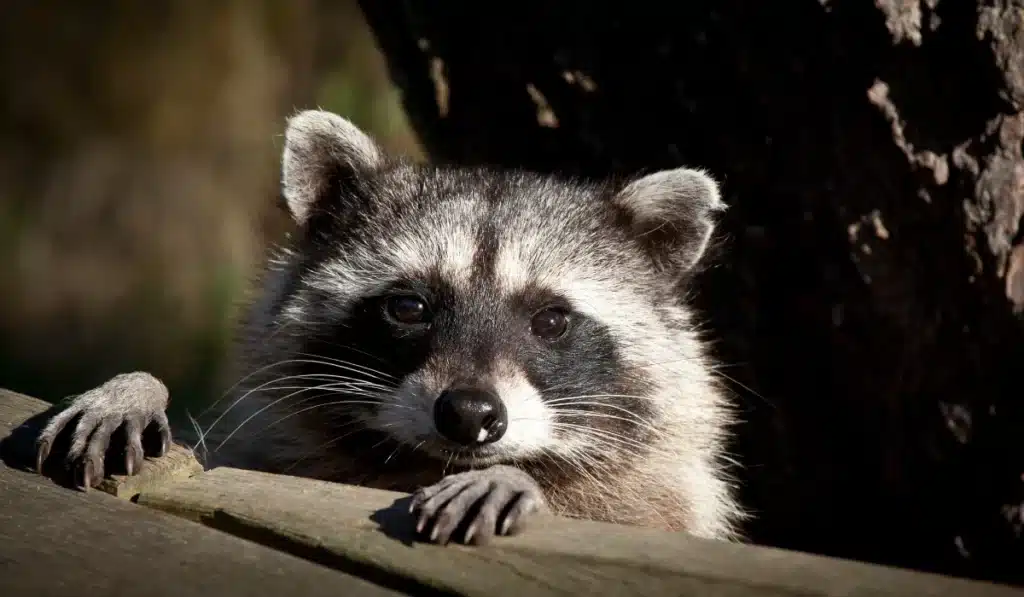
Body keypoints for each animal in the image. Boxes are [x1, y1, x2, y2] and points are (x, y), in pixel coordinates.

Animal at [34, 110, 745, 545]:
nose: (469, 414)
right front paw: (137, 388)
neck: (417, 465)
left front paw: (520, 478)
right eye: (408, 307)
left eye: (551, 320)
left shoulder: (662, 501)